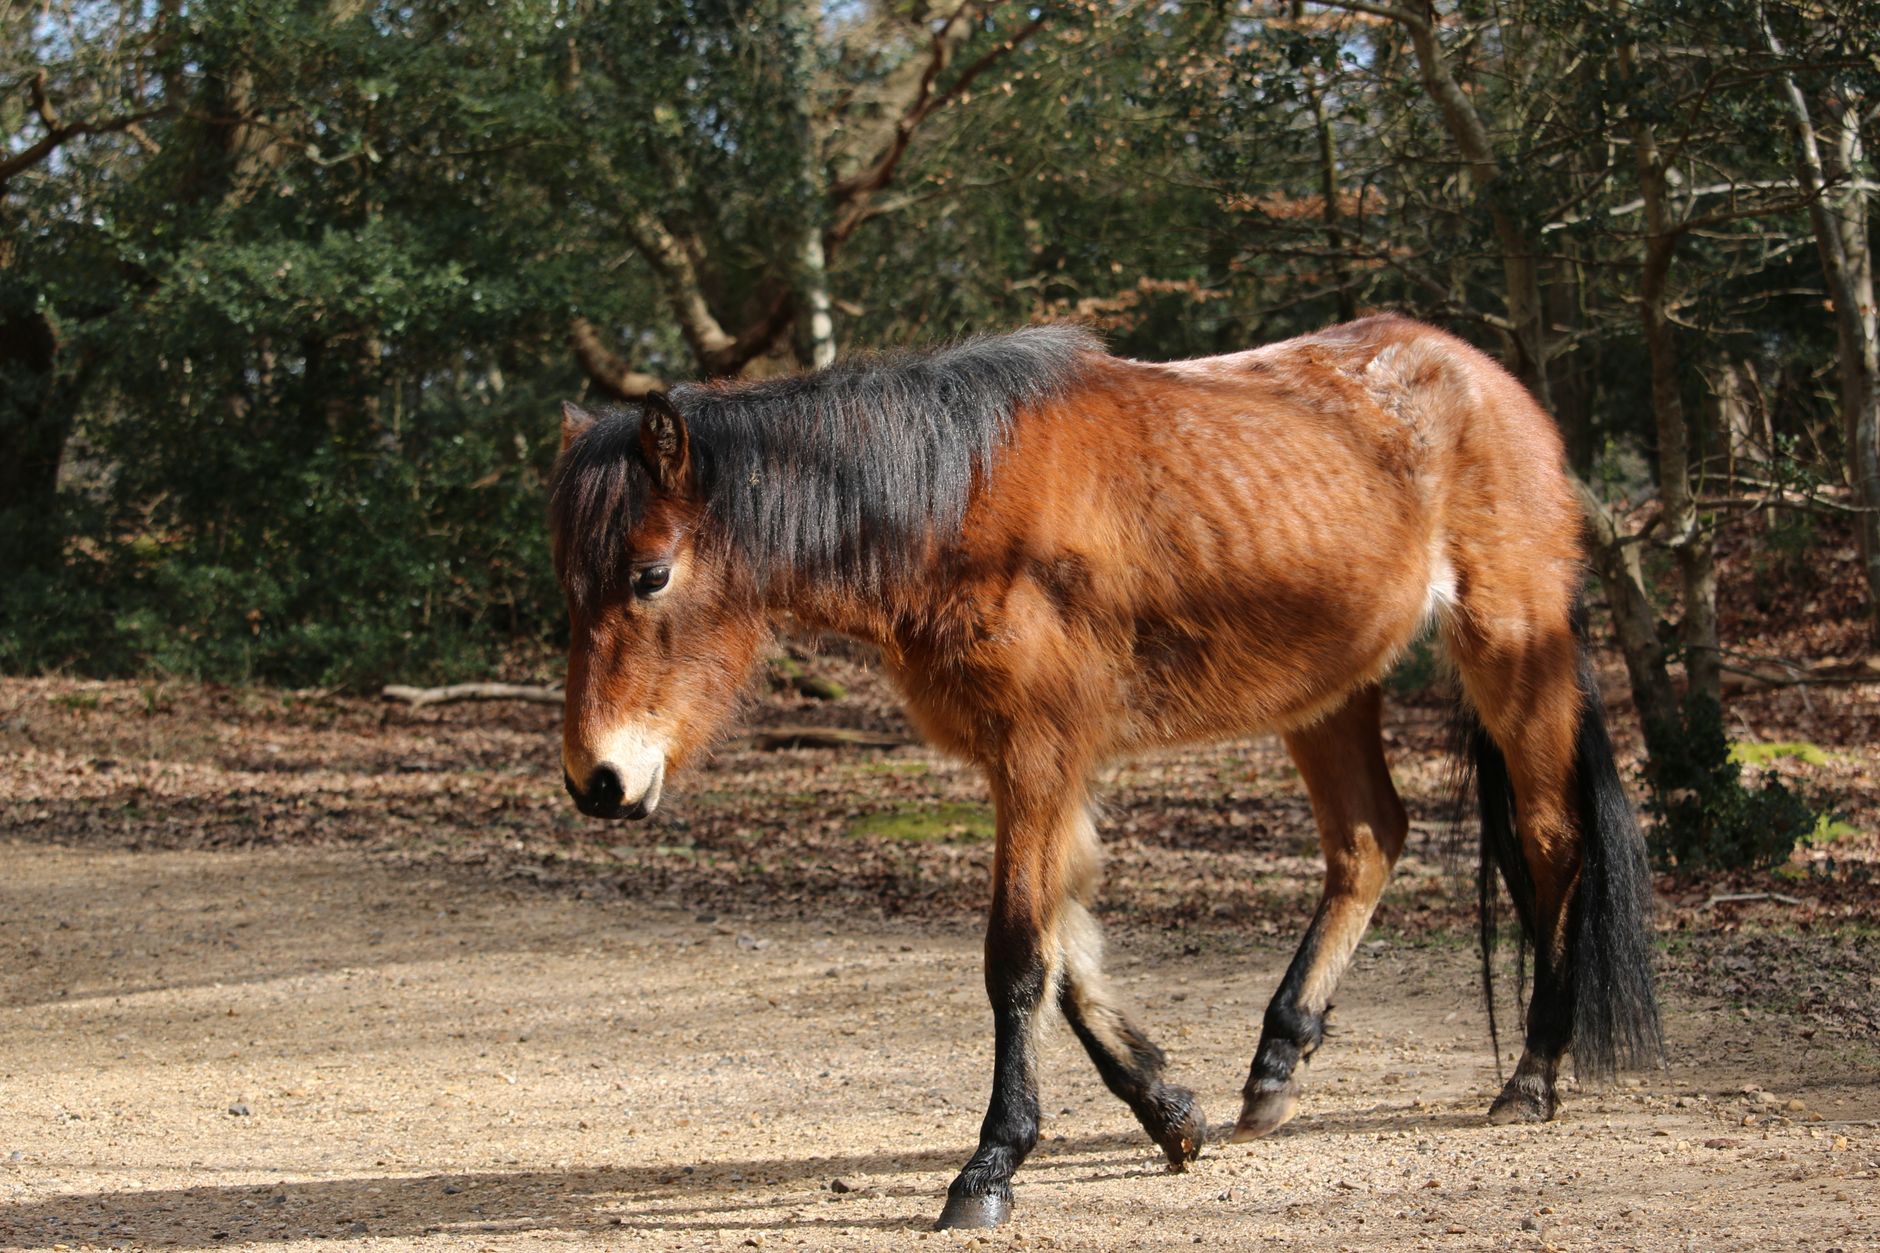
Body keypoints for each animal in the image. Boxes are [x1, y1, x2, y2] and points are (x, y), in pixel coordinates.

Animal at [549, 315, 1662, 1230]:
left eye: (650, 574)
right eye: (570, 584)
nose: (597, 780)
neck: (959, 500)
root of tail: (1490, 383)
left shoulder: (1040, 753)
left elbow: (1016, 957)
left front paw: (991, 1164)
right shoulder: (1040, 763)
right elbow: (1068, 952)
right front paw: (1171, 1113)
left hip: (1510, 649)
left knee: (1552, 843)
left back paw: (1533, 1073)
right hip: (1330, 690)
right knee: (1366, 840)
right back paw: (1277, 1059)